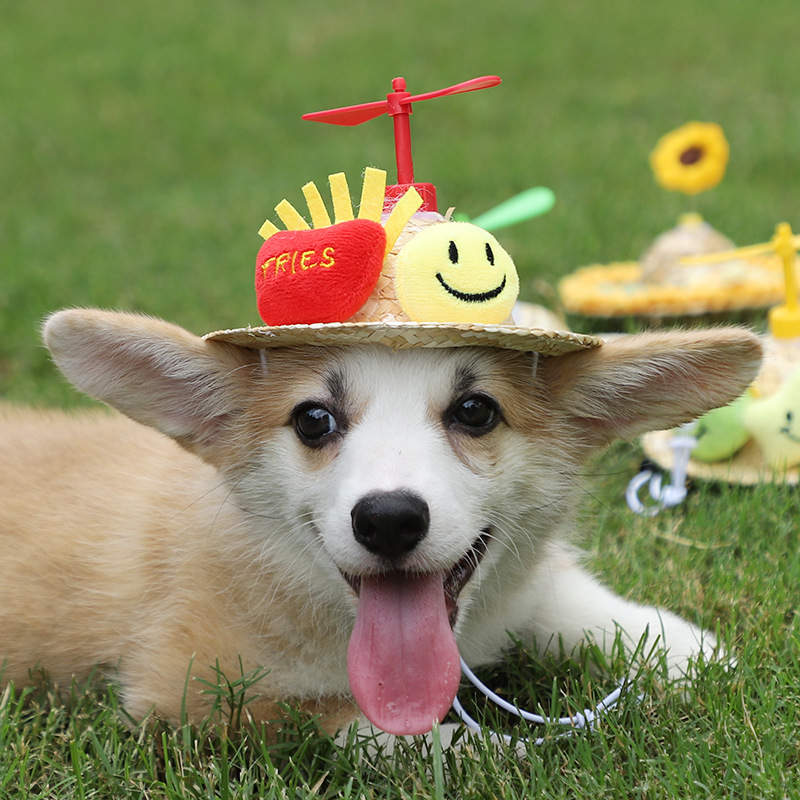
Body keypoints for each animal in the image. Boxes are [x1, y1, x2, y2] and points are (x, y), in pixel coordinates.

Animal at [0, 310, 760, 736]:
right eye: (314, 420)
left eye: (476, 411)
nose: (389, 520)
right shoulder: (187, 689)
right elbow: (389, 731)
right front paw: (486, 754)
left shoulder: (526, 589)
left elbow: (578, 602)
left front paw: (694, 655)